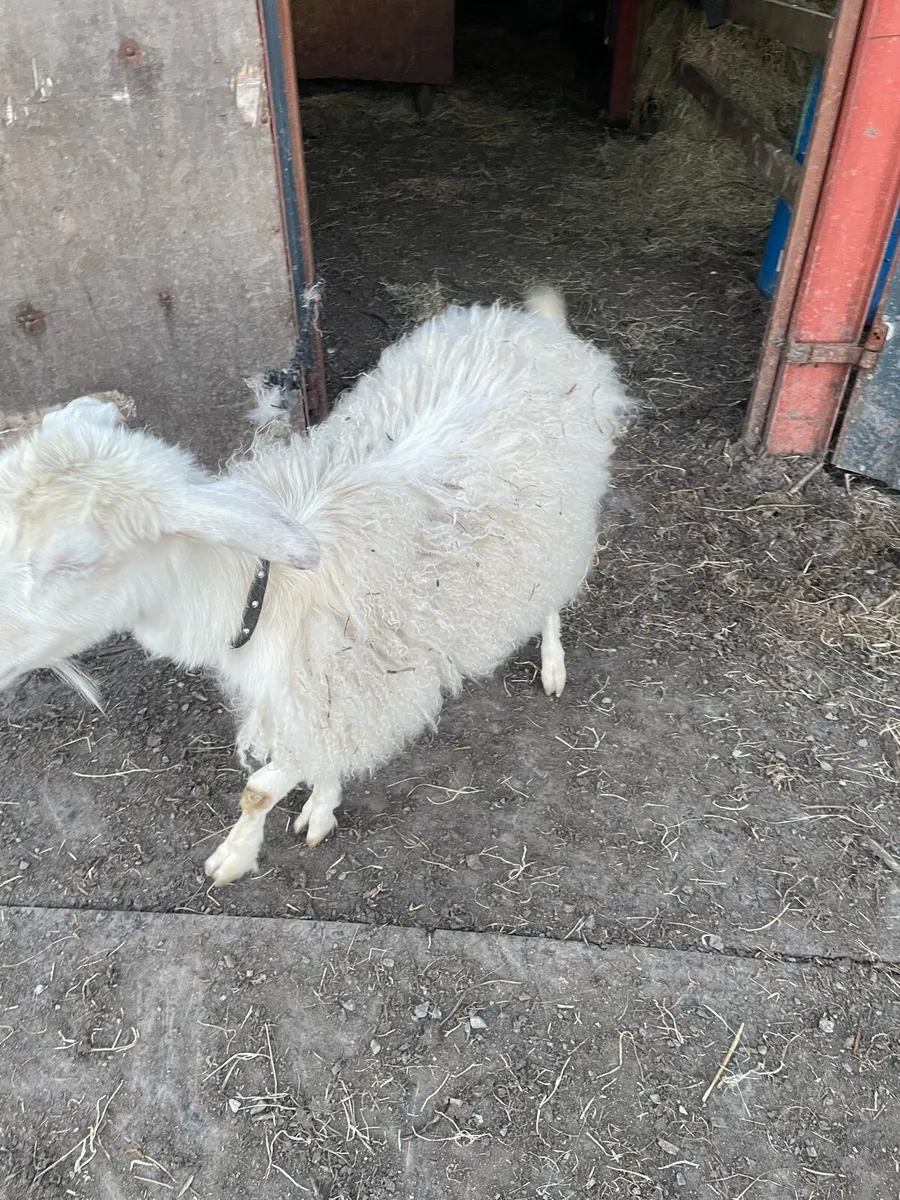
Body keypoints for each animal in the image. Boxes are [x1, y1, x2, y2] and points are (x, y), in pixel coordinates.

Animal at [0, 288, 630, 884]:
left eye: (75, 560)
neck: (262, 592)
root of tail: (528, 322)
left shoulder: (356, 690)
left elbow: (258, 789)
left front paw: (236, 855)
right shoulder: (316, 695)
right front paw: (322, 804)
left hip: (560, 526)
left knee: (550, 596)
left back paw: (553, 663)